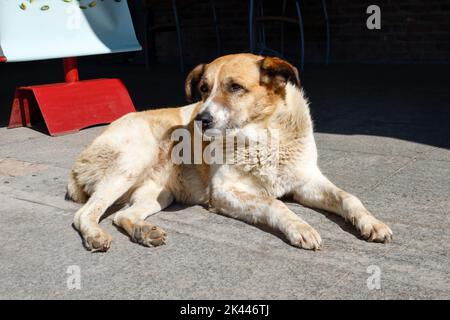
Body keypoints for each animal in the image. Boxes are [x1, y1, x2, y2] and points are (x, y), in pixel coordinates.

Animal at [68, 53, 392, 251]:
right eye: (203, 88)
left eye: (235, 87)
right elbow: (274, 204)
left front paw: (372, 223)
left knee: (121, 215)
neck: (264, 137)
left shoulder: (306, 182)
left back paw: (144, 232)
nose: (201, 119)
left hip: (159, 193)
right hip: (134, 160)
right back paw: (95, 235)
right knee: (84, 214)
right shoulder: (223, 192)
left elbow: (348, 197)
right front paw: (300, 227)